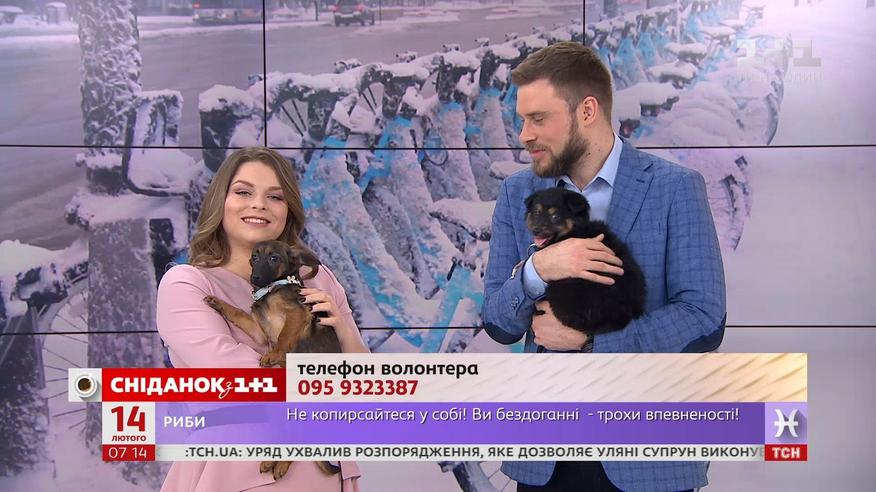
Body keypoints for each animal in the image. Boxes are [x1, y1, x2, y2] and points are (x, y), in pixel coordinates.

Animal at [203, 240, 341, 480]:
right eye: (254, 257)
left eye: (274, 258)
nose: (254, 278)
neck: (272, 289)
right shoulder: (257, 330)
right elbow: (237, 313)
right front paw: (217, 302)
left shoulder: (297, 313)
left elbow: (284, 336)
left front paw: (274, 355)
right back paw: (271, 460)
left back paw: (280, 465)